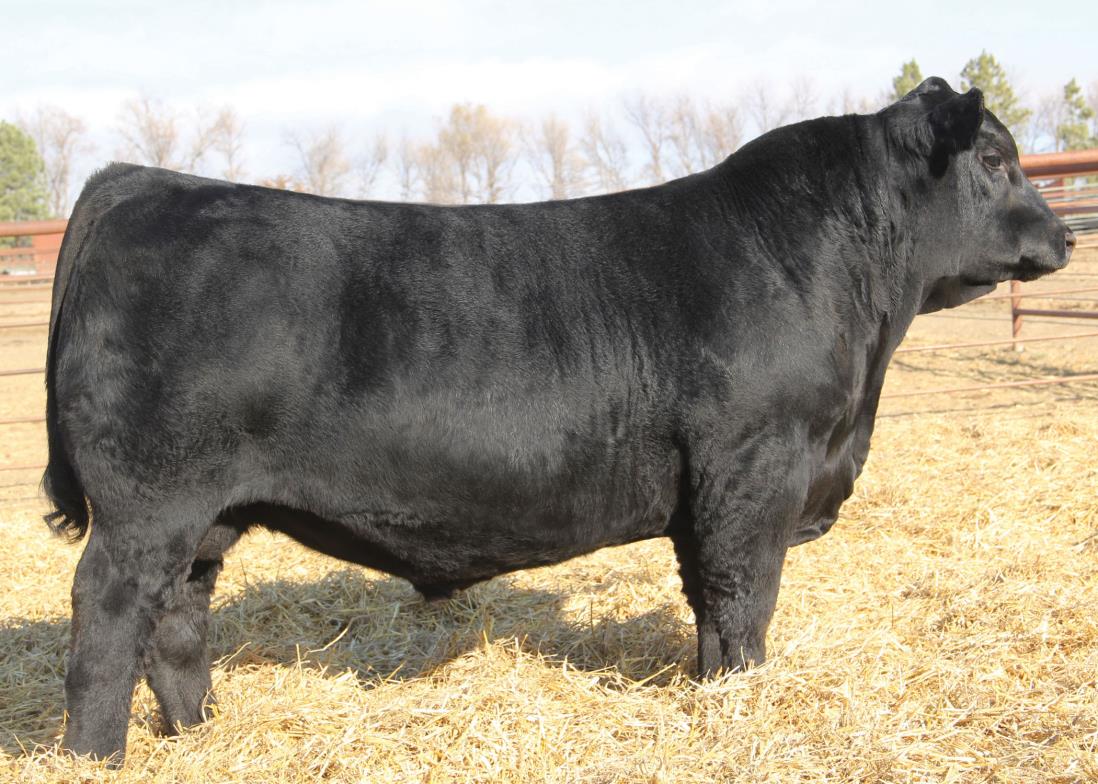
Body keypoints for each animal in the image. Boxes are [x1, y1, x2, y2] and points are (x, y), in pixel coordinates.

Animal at [41, 78, 1073, 763]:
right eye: (995, 158)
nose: (1065, 234)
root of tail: (145, 181)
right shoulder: (754, 469)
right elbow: (744, 599)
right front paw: (741, 701)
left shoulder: (710, 490)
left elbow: (708, 606)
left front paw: (710, 695)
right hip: (148, 503)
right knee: (109, 618)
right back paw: (97, 756)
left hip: (203, 517)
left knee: (177, 621)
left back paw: (200, 732)